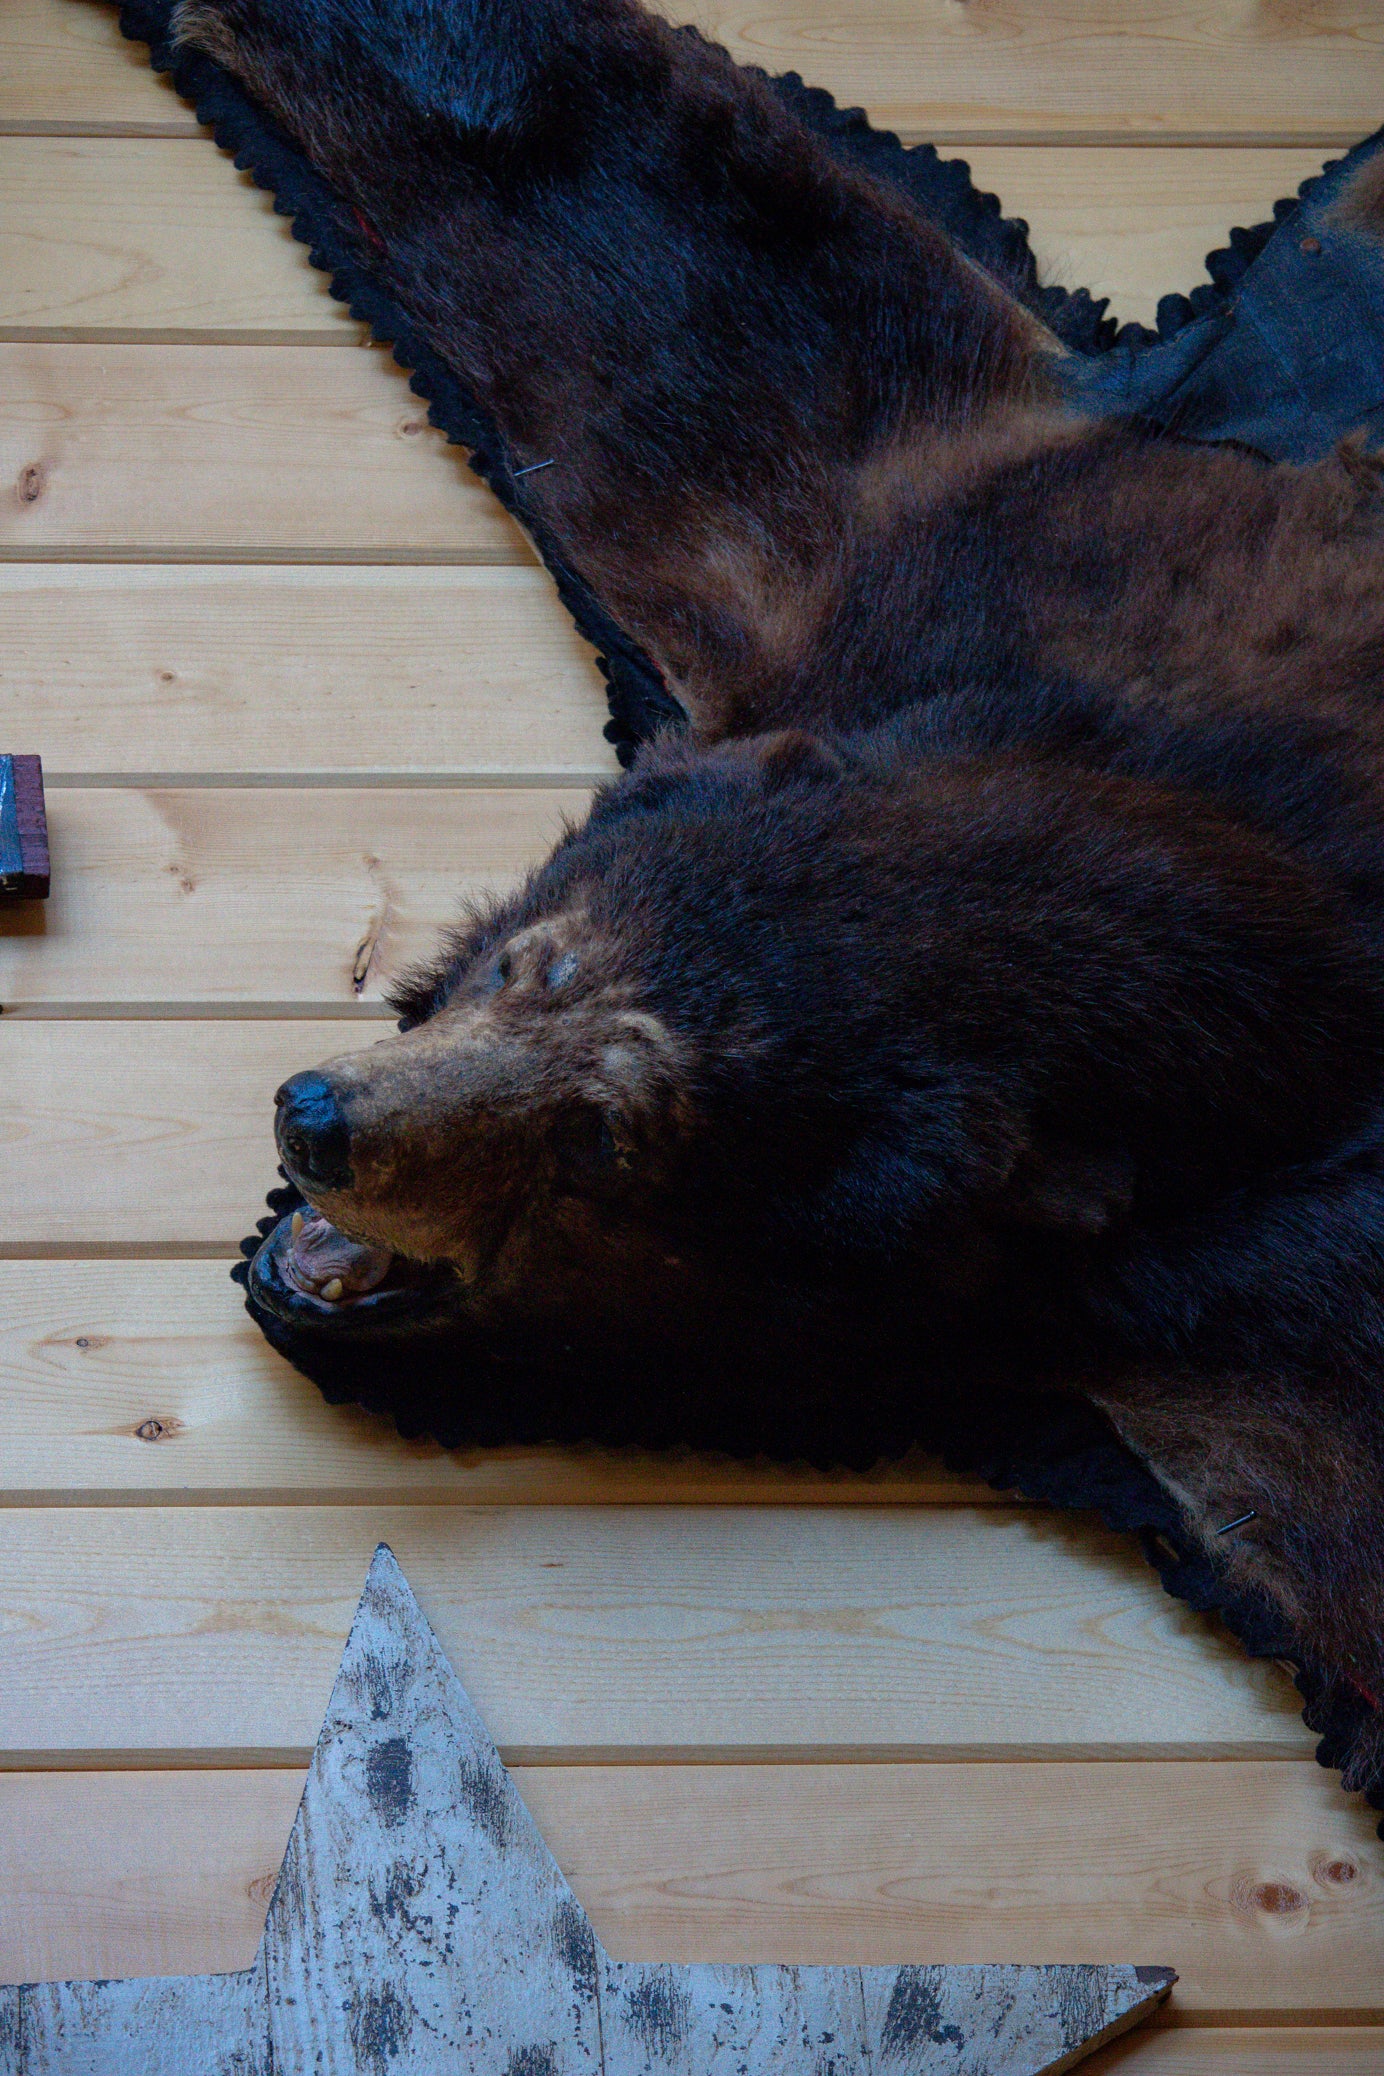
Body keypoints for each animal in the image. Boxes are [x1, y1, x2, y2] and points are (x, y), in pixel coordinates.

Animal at [170, 0, 1384, 1783]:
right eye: (530, 965)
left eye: (604, 1149)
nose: (321, 1118)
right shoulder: (941, 570)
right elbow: (582, 173)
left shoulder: (1275, 1311)